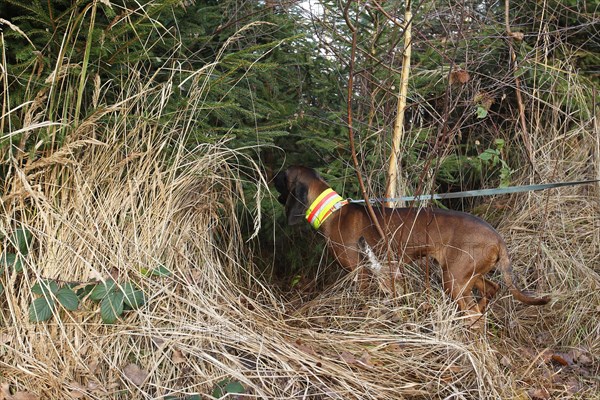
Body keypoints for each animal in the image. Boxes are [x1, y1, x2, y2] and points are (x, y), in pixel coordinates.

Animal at [274, 166, 552, 316]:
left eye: (282, 176)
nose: (270, 176)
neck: (332, 211)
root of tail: (498, 238)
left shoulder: (360, 273)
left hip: (454, 279)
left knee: (473, 313)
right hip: (468, 275)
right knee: (492, 290)